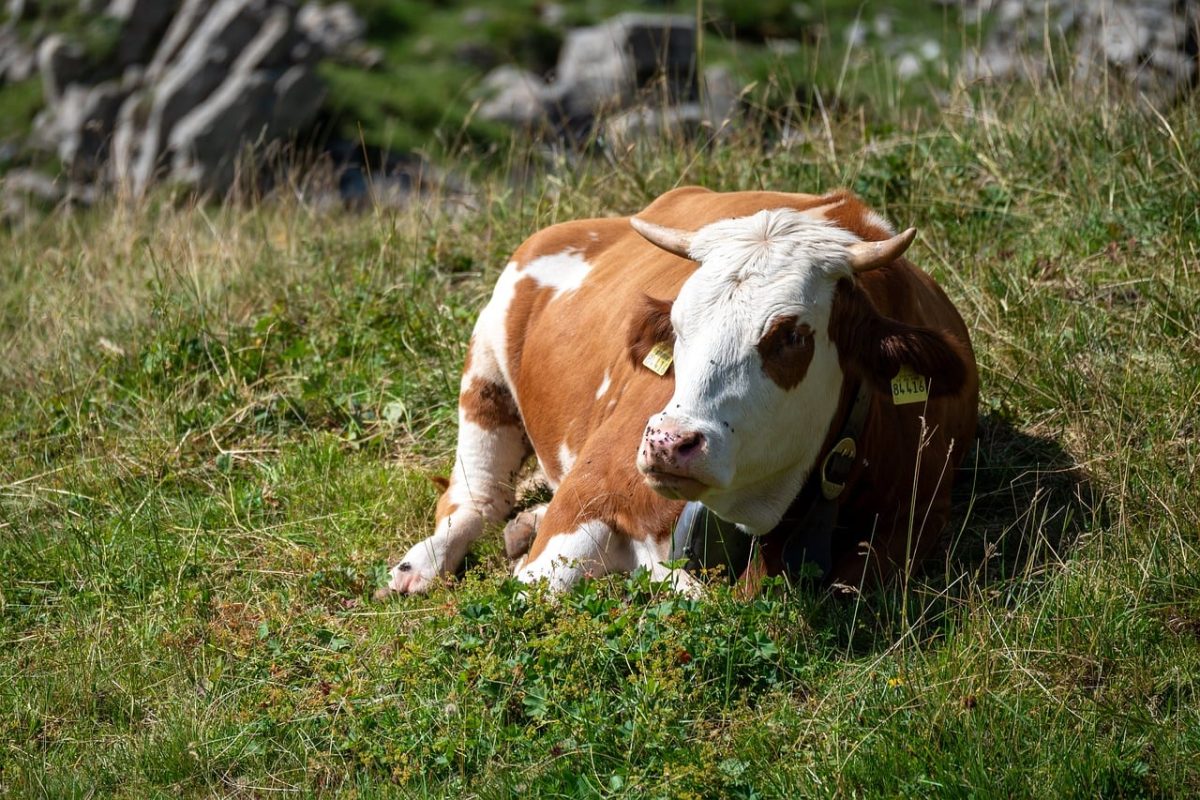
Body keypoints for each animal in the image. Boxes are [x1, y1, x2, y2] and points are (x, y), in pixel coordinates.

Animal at [379, 186, 979, 597]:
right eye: (678, 320)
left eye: (792, 336)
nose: (669, 442)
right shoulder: (590, 490)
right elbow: (536, 592)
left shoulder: (908, 530)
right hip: (486, 366)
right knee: (477, 496)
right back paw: (422, 564)